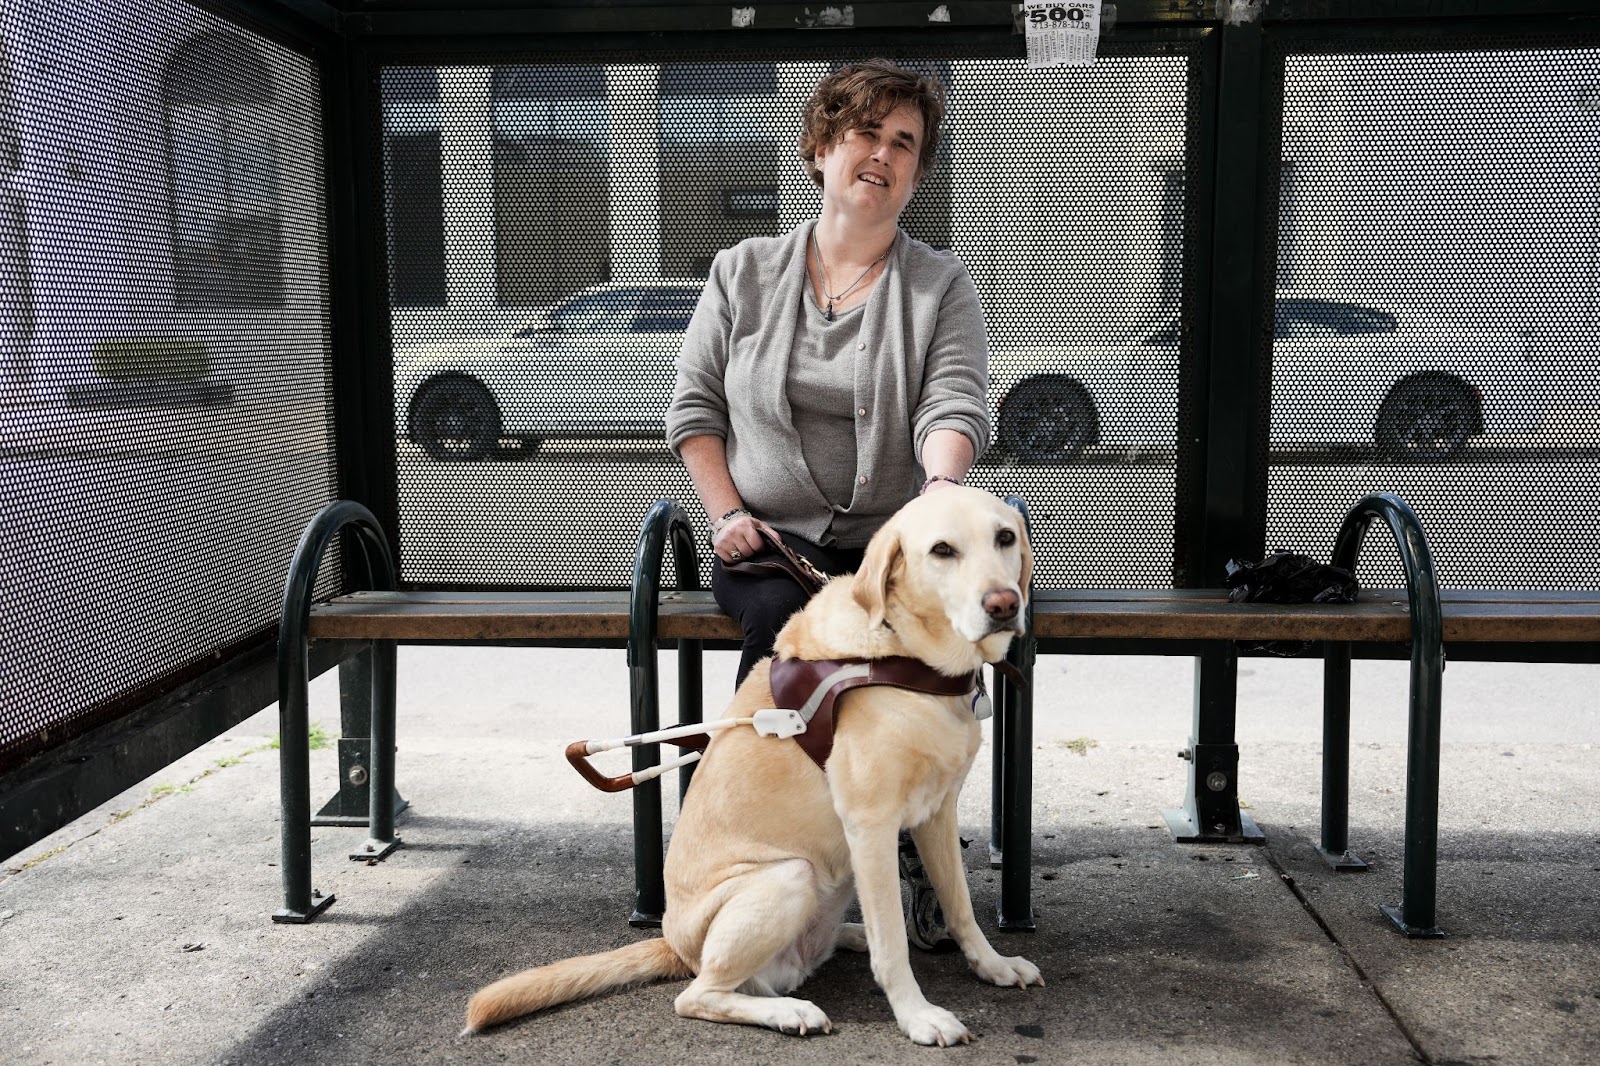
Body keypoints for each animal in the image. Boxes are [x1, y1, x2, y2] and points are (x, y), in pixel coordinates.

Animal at [467, 486, 1036, 1043]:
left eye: (1005, 538)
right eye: (942, 550)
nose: (1004, 603)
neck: (906, 658)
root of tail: (675, 945)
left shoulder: (936, 814)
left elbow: (960, 907)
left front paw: (992, 965)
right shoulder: (871, 824)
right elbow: (893, 945)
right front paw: (918, 1016)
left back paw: (845, 938)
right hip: (788, 876)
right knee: (701, 994)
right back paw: (790, 1010)